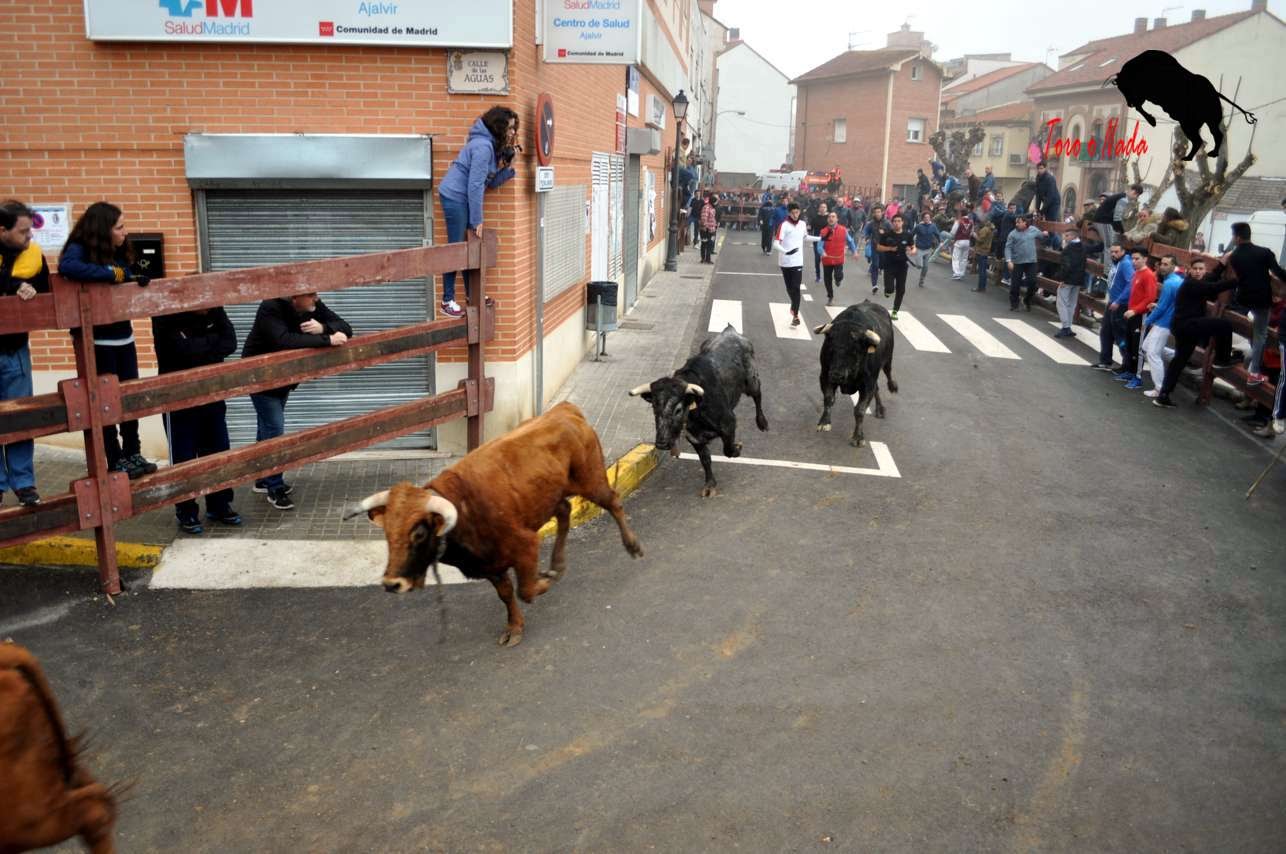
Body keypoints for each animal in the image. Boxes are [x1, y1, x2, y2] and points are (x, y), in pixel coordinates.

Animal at [344, 402, 644, 648]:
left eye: (418, 533)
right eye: (386, 532)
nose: (391, 583)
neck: (464, 512)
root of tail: (564, 410)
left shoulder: (526, 545)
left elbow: (526, 590)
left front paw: (543, 582)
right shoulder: (491, 566)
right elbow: (507, 594)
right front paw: (515, 627)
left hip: (591, 480)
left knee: (613, 502)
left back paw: (632, 546)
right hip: (550, 496)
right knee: (565, 511)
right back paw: (557, 564)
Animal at [629, 324, 768, 497]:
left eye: (678, 409)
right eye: (654, 407)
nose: (661, 443)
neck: (697, 412)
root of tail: (731, 331)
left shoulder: (729, 423)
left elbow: (728, 450)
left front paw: (738, 448)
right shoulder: (694, 438)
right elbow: (705, 459)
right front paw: (709, 485)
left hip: (751, 381)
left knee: (758, 395)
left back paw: (762, 422)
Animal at [813, 301, 897, 447]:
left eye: (854, 350)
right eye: (830, 347)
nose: (837, 374)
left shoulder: (868, 384)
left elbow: (859, 410)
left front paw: (858, 437)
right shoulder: (824, 376)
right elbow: (828, 399)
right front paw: (824, 423)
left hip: (887, 360)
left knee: (888, 375)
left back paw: (885, 401)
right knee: (877, 388)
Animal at [1105, 50, 1257, 161]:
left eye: (1126, 87)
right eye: (1120, 89)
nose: (1129, 103)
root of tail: (1214, 92)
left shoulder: (1146, 93)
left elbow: (1140, 106)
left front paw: (1152, 120)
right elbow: (1140, 107)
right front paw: (1152, 120)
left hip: (1192, 123)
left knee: (1201, 139)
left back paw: (1193, 156)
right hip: (1206, 121)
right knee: (1213, 136)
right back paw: (1208, 154)